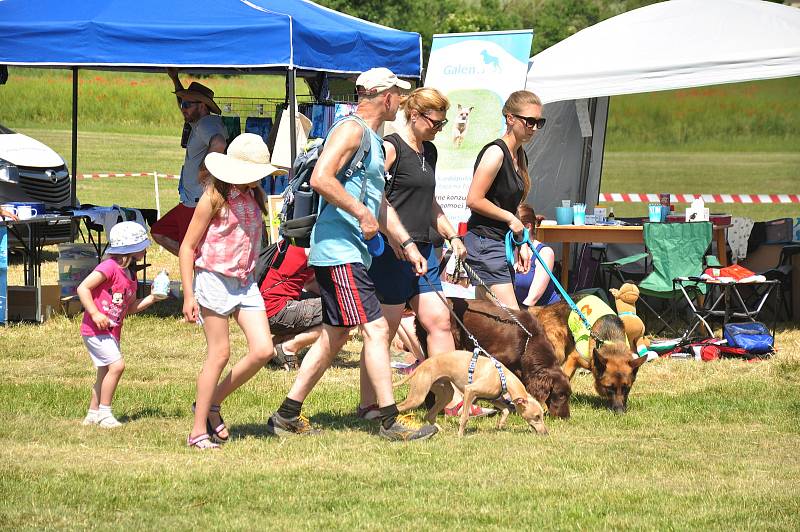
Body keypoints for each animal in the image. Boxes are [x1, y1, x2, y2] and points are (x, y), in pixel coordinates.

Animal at [396, 350, 552, 436]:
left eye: (541, 415)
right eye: (537, 416)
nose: (546, 433)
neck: (503, 376)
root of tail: (421, 365)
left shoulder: (492, 398)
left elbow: (506, 409)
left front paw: (501, 424)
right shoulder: (469, 391)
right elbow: (464, 417)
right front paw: (460, 435)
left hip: (446, 394)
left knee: (429, 415)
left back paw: (439, 430)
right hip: (417, 397)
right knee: (399, 407)